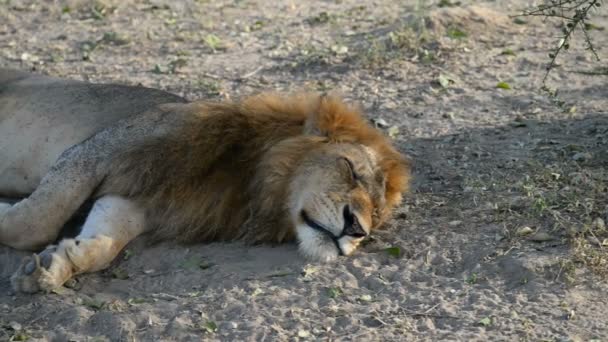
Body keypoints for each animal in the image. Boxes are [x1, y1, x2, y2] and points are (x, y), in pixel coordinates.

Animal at [0, 68, 410, 292]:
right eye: (350, 168)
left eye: (376, 214)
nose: (356, 229)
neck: (247, 179)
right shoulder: (101, 153)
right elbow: (34, 222)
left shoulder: (135, 204)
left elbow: (102, 245)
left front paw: (51, 265)